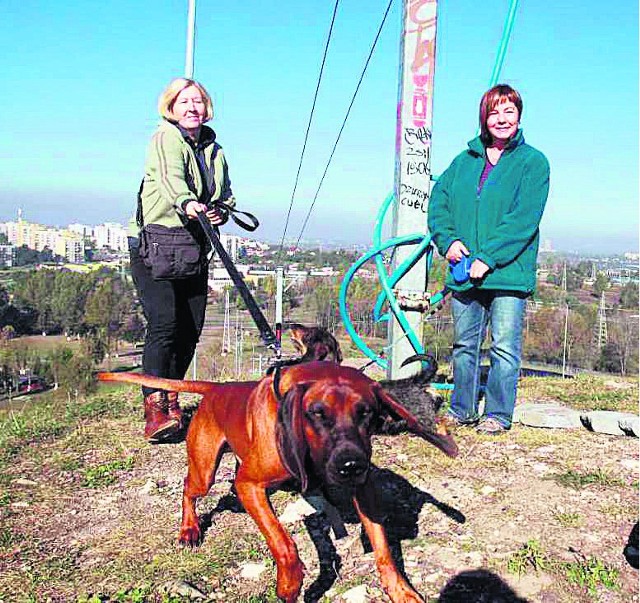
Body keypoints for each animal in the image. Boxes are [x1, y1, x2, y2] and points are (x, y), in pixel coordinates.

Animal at [100, 364, 458, 603]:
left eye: (366, 412)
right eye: (317, 413)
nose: (351, 466)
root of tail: (217, 388)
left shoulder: (364, 488)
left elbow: (383, 549)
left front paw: (401, 591)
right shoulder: (251, 486)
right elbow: (284, 544)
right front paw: (290, 583)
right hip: (205, 471)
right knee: (190, 488)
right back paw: (189, 528)